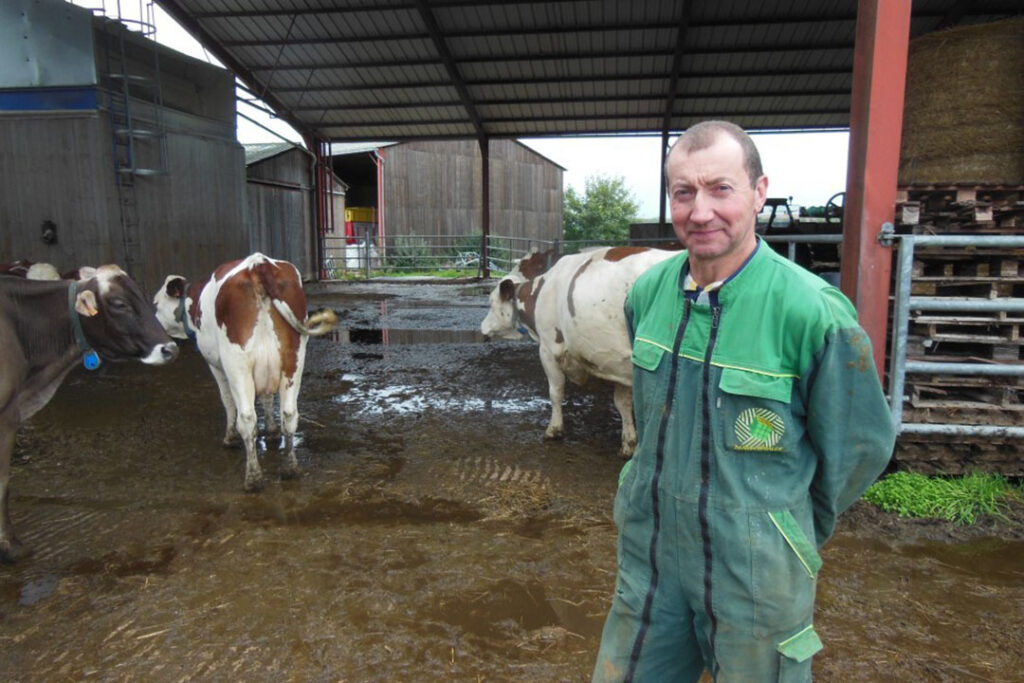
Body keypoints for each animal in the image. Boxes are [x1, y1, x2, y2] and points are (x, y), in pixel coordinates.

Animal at [0, 264, 179, 557]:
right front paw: (10, 546)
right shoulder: (6, 416)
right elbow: (3, 482)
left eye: (142, 296)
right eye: (119, 304)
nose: (170, 349)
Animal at [153, 250, 335, 491]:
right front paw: (272, 431)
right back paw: (290, 468)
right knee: (289, 413)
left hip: (237, 363)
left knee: (247, 418)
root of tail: (258, 264)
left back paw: (253, 477)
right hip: (294, 359)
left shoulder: (216, 365)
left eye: (155, 304)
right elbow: (267, 398)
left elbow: (227, 400)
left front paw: (229, 438)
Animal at [481, 245, 679, 458]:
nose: (481, 327)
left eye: (491, 302)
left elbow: (556, 391)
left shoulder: (548, 349)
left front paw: (554, 429)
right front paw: (628, 444)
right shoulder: (621, 361)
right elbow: (623, 402)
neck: (542, 290)